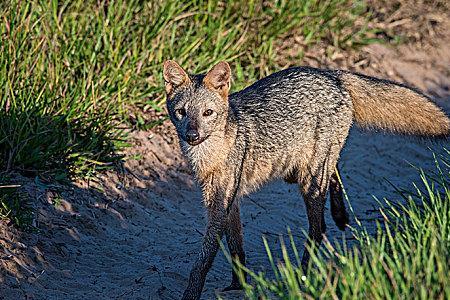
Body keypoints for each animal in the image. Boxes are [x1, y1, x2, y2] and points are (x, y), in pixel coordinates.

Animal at [163, 59, 450, 298]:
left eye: (207, 113)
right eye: (182, 112)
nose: (192, 135)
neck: (210, 154)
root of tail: (330, 74)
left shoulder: (221, 203)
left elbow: (204, 259)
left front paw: (192, 293)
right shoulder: (227, 202)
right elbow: (236, 248)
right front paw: (238, 284)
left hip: (310, 180)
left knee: (318, 230)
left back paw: (303, 274)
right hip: (303, 171)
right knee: (333, 177)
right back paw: (339, 216)